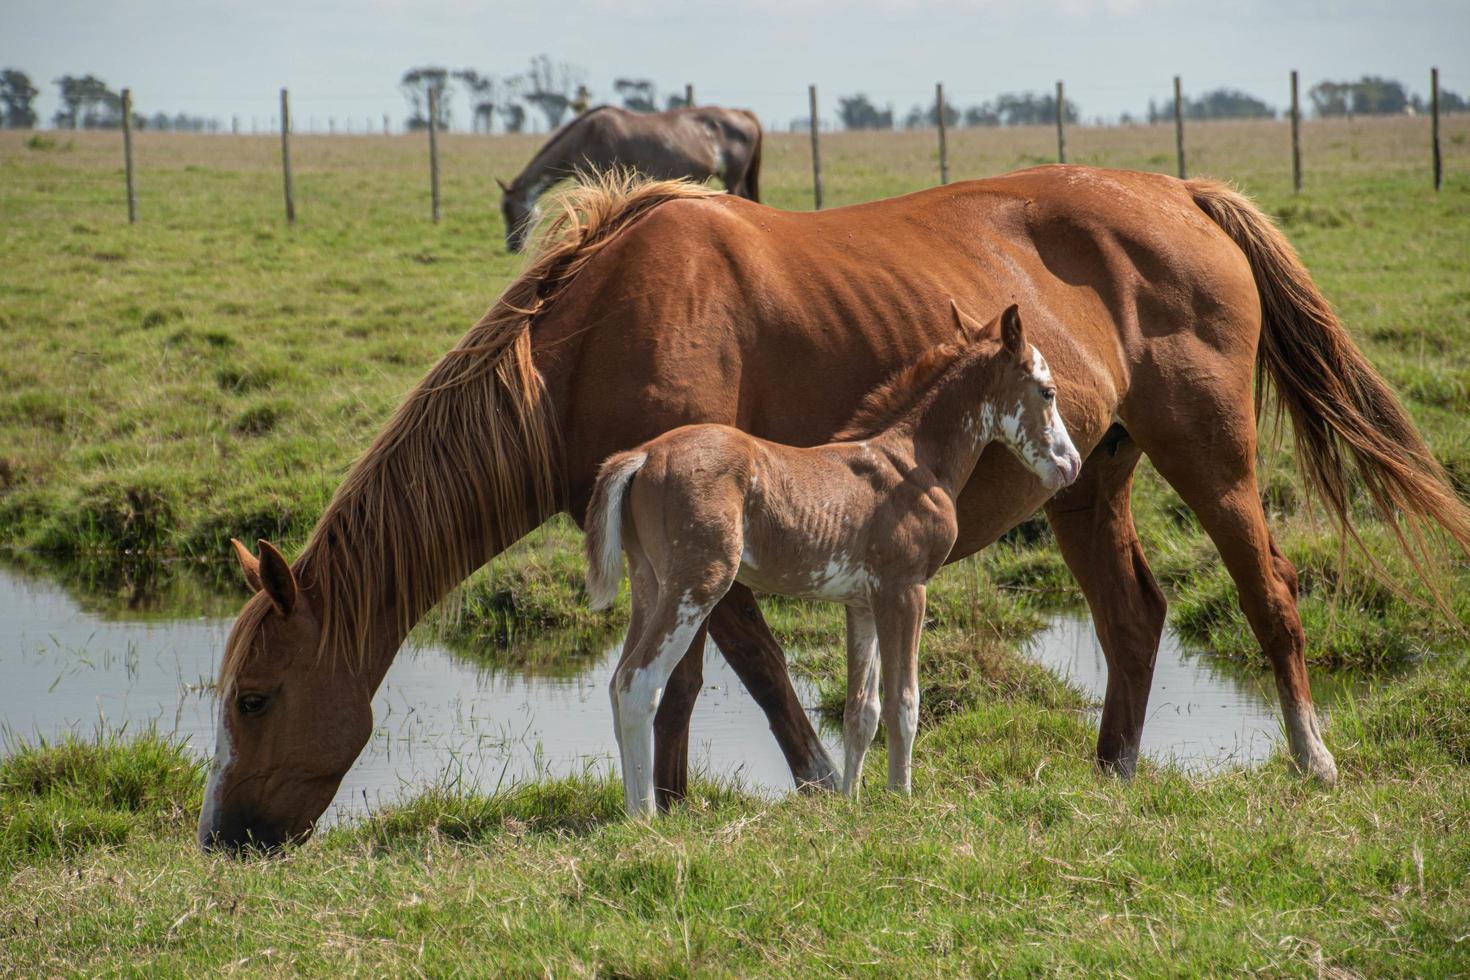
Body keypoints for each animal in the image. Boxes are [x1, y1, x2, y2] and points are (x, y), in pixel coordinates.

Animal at [585, 302, 1081, 816]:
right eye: (1047, 391)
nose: (1071, 464)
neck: (914, 461)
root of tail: (643, 456)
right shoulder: (905, 589)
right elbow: (904, 701)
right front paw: (901, 797)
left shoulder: (862, 603)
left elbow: (862, 709)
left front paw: (850, 800)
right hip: (697, 585)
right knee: (640, 682)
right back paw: (646, 816)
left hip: (649, 584)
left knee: (618, 682)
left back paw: (631, 814)